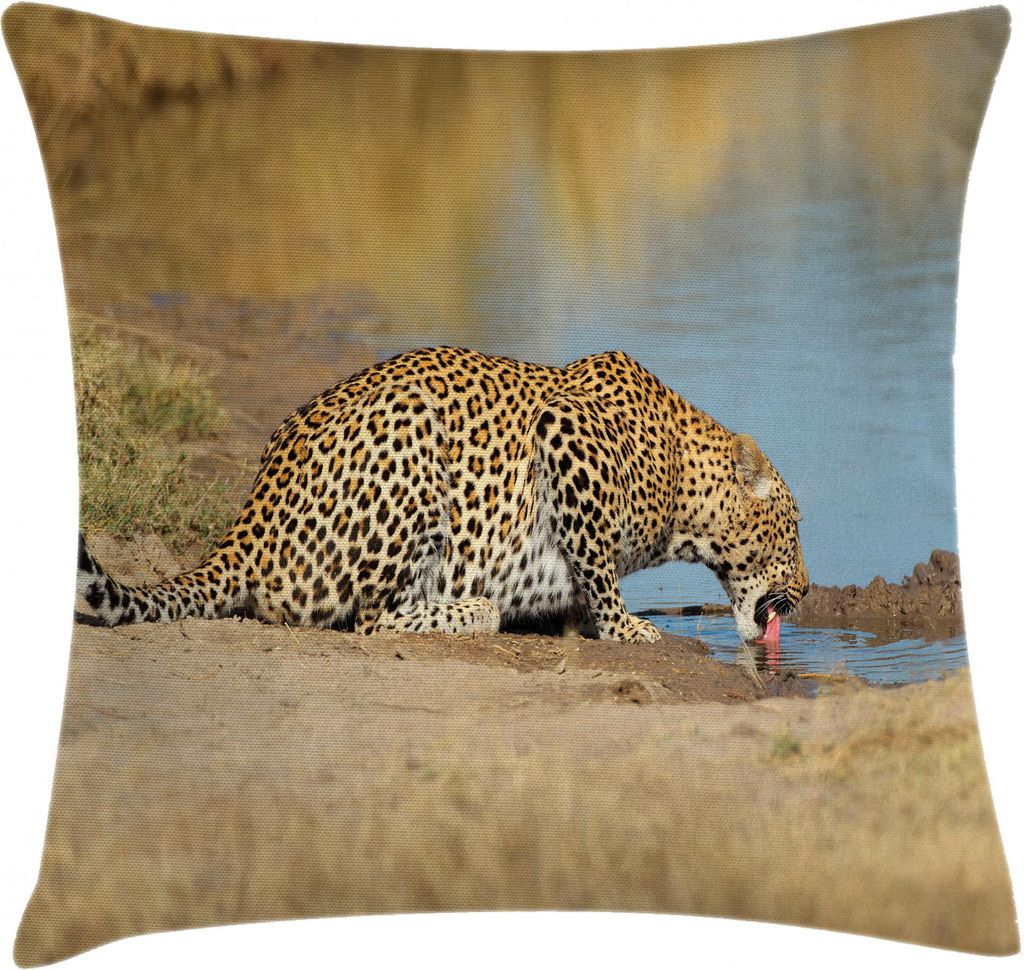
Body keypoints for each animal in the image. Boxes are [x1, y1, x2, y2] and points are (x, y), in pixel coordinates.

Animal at [77, 346, 809, 644]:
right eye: (794, 531)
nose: (804, 591)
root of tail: (248, 525)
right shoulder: (564, 433)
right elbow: (598, 566)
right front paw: (625, 627)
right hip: (414, 442)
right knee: (372, 619)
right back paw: (472, 610)